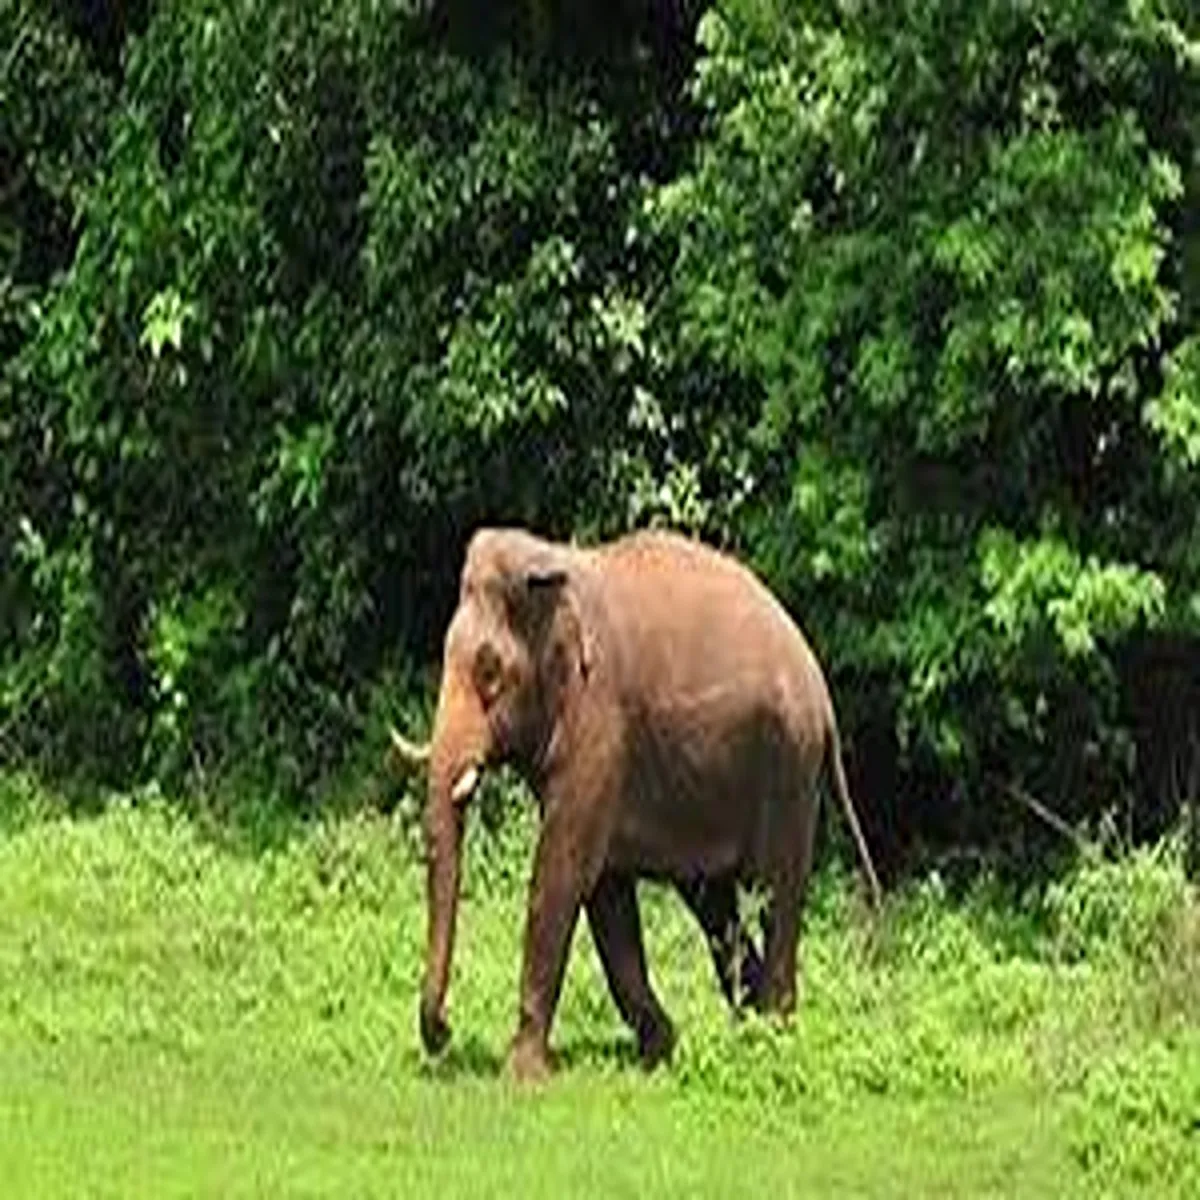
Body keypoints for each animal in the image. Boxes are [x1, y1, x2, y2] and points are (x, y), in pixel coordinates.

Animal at [391, 526, 881, 1082]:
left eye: (490, 673)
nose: (445, 1033)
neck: (552, 562)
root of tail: (823, 696)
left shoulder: (600, 723)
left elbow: (563, 873)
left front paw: (521, 1076)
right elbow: (606, 893)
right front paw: (661, 1050)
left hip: (789, 769)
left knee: (774, 893)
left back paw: (771, 1038)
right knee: (715, 905)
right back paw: (745, 1026)